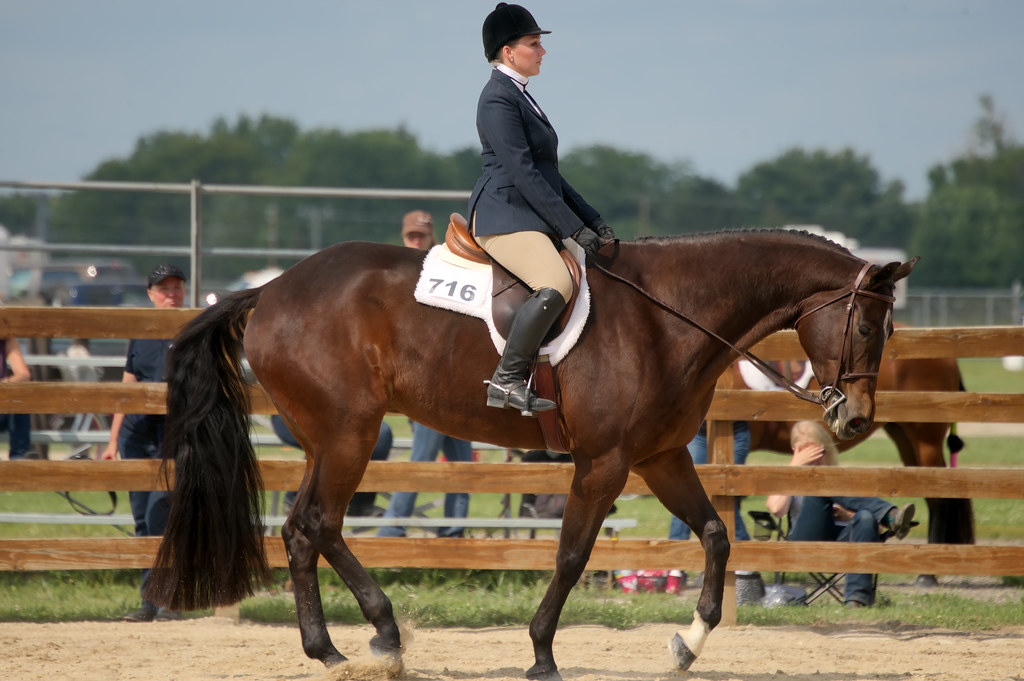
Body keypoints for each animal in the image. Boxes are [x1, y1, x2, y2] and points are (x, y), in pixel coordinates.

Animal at [147, 229, 916, 680]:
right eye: (868, 325)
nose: (856, 419)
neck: (668, 313)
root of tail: (271, 289)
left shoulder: (662, 455)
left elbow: (716, 534)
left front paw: (687, 643)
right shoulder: (604, 462)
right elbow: (572, 554)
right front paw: (543, 651)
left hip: (330, 439)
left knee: (304, 528)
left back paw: (336, 647)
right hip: (347, 435)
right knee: (319, 523)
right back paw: (373, 636)